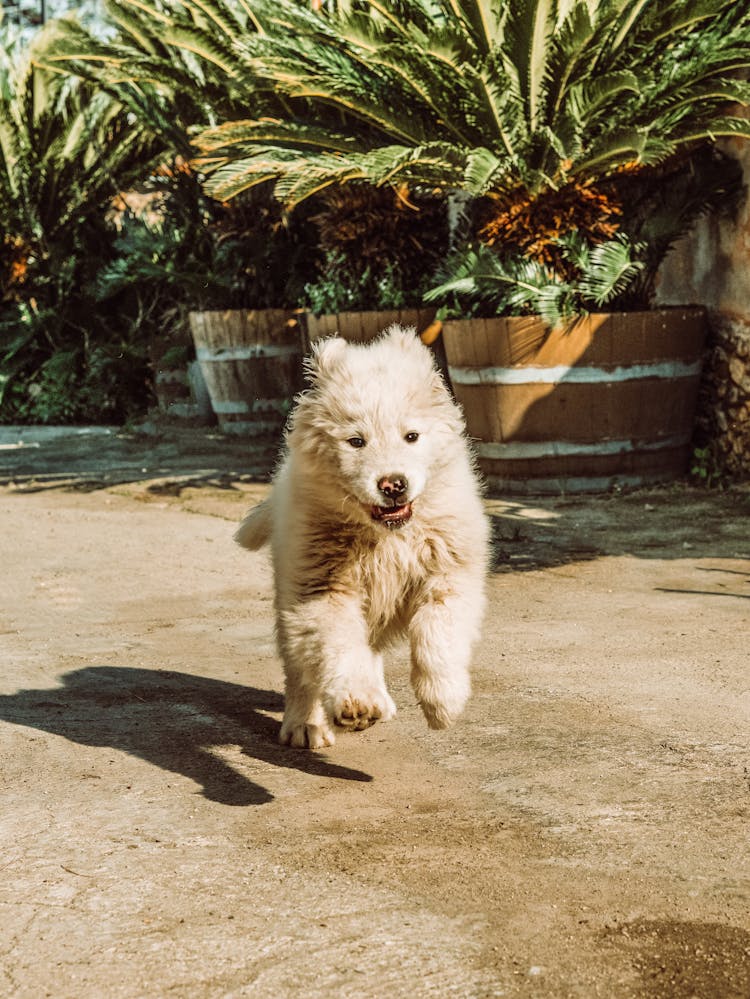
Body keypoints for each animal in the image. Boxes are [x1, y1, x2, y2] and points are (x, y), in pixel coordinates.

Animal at [238, 326, 490, 752]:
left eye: (411, 436)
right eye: (356, 441)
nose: (393, 485)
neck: (387, 537)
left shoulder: (450, 571)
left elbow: (438, 633)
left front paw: (443, 702)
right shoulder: (322, 588)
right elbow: (341, 647)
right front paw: (356, 701)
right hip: (290, 594)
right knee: (302, 668)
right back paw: (306, 723)